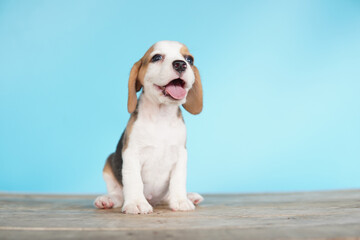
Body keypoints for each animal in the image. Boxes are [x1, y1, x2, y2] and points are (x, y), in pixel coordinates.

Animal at [94, 40, 204, 215]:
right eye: (156, 57)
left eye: (189, 59)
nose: (181, 64)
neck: (161, 117)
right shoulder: (131, 153)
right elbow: (134, 180)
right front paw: (137, 203)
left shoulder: (181, 154)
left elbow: (178, 179)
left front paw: (180, 200)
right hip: (108, 163)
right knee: (118, 194)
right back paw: (107, 200)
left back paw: (189, 196)